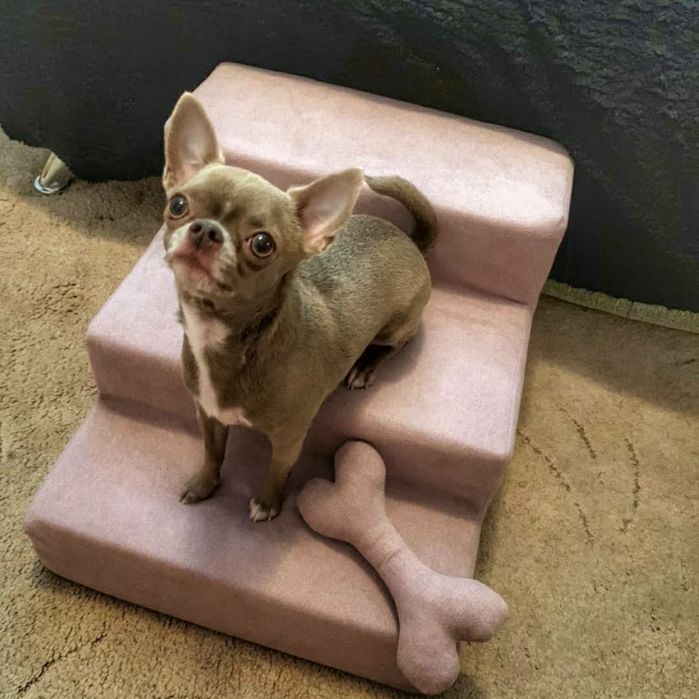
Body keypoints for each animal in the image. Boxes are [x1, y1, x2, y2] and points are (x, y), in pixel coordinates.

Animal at [161, 93, 437, 521]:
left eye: (262, 244)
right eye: (177, 204)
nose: (206, 230)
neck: (230, 340)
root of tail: (411, 239)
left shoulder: (289, 436)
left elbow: (277, 469)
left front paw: (267, 503)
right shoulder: (207, 415)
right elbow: (212, 452)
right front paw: (204, 483)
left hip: (399, 324)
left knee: (397, 344)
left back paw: (365, 366)